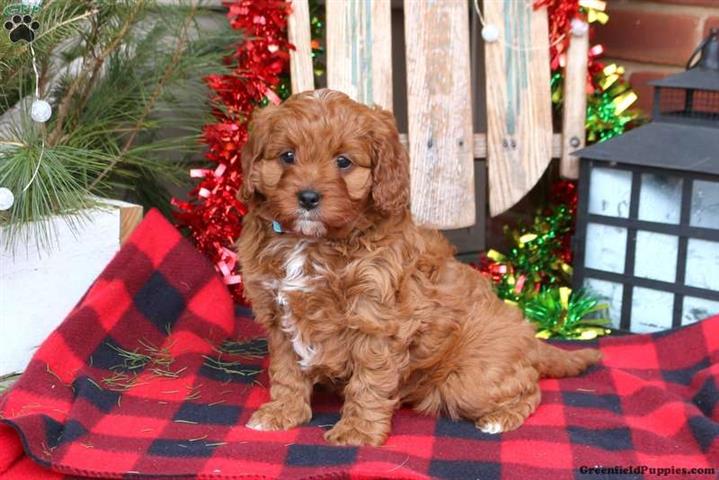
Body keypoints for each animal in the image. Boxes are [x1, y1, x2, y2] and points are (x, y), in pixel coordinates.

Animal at [238, 89, 600, 446]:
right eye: (287, 156)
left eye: (343, 162)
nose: (308, 198)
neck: (311, 242)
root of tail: (528, 335)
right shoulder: (278, 318)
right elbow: (287, 372)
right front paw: (283, 413)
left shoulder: (376, 321)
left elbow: (368, 383)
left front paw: (357, 432)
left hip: (470, 380)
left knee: (530, 388)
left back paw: (499, 419)